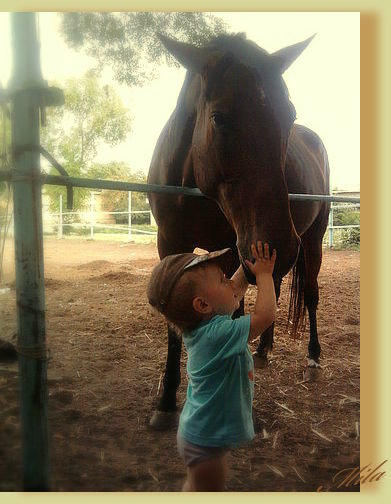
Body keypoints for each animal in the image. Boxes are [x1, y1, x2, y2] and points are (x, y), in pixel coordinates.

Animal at [147, 33, 330, 432]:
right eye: (220, 118)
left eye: (289, 115)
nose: (280, 245)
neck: (194, 189)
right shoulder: (171, 244)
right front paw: (166, 401)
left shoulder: (230, 249)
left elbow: (233, 312)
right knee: (275, 286)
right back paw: (263, 348)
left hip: (313, 241)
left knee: (310, 295)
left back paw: (312, 358)